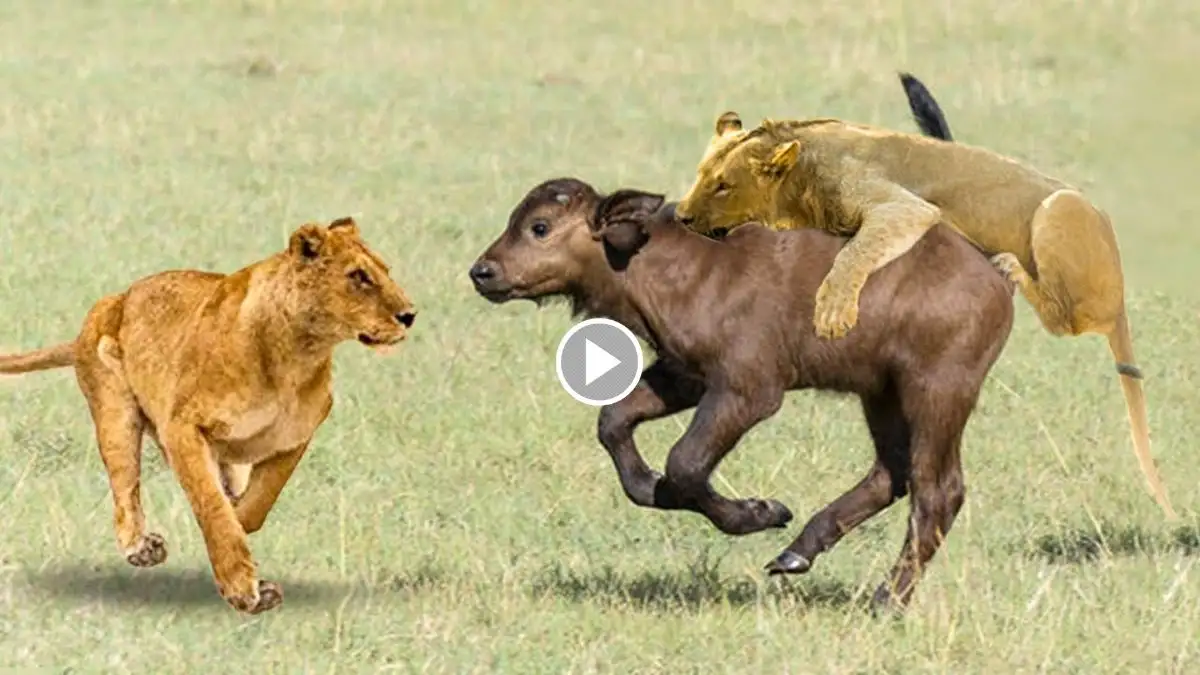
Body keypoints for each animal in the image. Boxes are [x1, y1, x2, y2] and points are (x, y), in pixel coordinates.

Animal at [468, 178, 1012, 610]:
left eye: (539, 226)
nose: (482, 272)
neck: (663, 263)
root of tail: (992, 273)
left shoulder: (748, 389)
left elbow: (686, 461)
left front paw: (758, 512)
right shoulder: (685, 374)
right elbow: (615, 421)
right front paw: (654, 487)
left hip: (936, 391)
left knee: (937, 490)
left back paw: (887, 599)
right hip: (881, 393)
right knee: (893, 472)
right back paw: (797, 553)